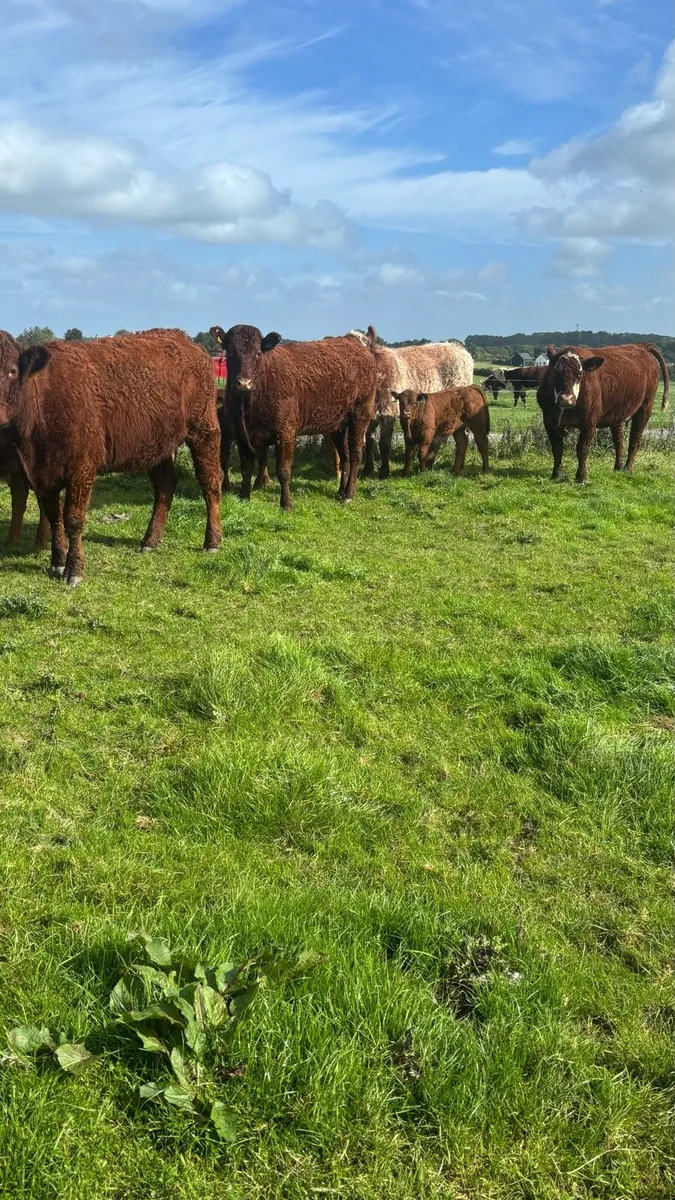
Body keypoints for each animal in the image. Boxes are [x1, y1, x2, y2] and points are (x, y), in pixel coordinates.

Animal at [0, 329, 222, 585]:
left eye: (12, 371)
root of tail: (183, 338)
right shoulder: (40, 475)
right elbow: (54, 517)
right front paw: (57, 563)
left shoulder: (83, 467)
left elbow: (73, 519)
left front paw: (74, 570)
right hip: (159, 444)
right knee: (165, 486)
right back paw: (150, 541)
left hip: (204, 429)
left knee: (210, 482)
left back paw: (212, 541)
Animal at [209, 323, 378, 510]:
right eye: (230, 352)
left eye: (258, 353)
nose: (244, 383)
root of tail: (354, 342)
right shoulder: (241, 434)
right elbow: (246, 467)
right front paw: (244, 497)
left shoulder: (286, 432)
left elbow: (283, 470)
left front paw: (286, 504)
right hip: (338, 425)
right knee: (345, 456)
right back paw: (341, 491)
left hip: (360, 414)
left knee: (355, 454)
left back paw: (349, 494)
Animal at [346, 337, 474, 479]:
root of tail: (457, 347)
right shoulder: (370, 416)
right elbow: (370, 443)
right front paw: (367, 470)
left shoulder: (388, 412)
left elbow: (384, 444)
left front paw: (384, 472)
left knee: (458, 436)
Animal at [537, 342, 670, 484]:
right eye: (556, 372)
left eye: (580, 374)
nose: (567, 399)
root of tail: (641, 345)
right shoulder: (548, 421)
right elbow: (557, 449)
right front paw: (556, 475)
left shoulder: (589, 421)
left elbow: (582, 449)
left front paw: (581, 477)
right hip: (618, 412)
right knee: (619, 440)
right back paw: (618, 467)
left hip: (645, 407)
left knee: (635, 439)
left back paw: (627, 469)